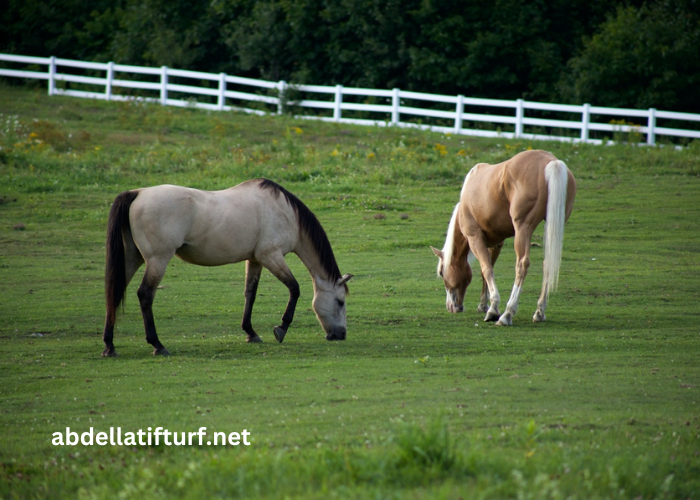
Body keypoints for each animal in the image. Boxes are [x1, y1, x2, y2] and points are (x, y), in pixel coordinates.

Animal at [101, 179, 352, 356]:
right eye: (340, 301)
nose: (341, 335)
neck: (285, 212)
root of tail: (138, 193)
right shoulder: (271, 256)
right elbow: (294, 288)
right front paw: (281, 328)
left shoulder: (255, 260)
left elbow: (250, 294)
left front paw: (250, 332)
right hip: (157, 260)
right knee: (145, 294)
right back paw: (157, 344)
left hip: (132, 258)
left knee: (114, 293)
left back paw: (109, 346)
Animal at [432, 150, 576, 326]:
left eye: (441, 272)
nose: (452, 307)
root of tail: (551, 162)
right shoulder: (496, 243)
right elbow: (486, 271)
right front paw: (483, 305)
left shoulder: (475, 238)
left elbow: (486, 270)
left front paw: (493, 309)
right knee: (547, 263)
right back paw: (539, 312)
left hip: (523, 228)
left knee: (522, 265)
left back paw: (507, 314)